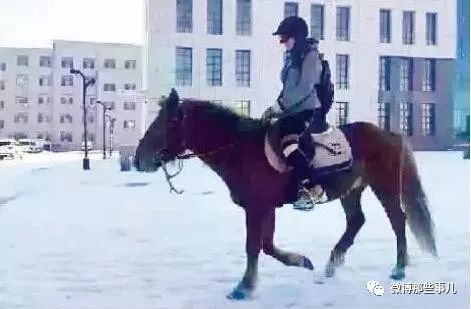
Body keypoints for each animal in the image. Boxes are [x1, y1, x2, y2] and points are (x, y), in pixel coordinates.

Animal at [133, 88, 436, 298]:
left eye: (170, 122)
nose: (138, 159)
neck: (240, 148)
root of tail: (389, 134)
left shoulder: (257, 207)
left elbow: (253, 246)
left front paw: (244, 287)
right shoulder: (266, 207)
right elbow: (267, 245)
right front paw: (301, 261)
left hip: (384, 185)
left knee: (397, 220)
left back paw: (399, 268)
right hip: (351, 189)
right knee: (356, 221)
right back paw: (332, 263)